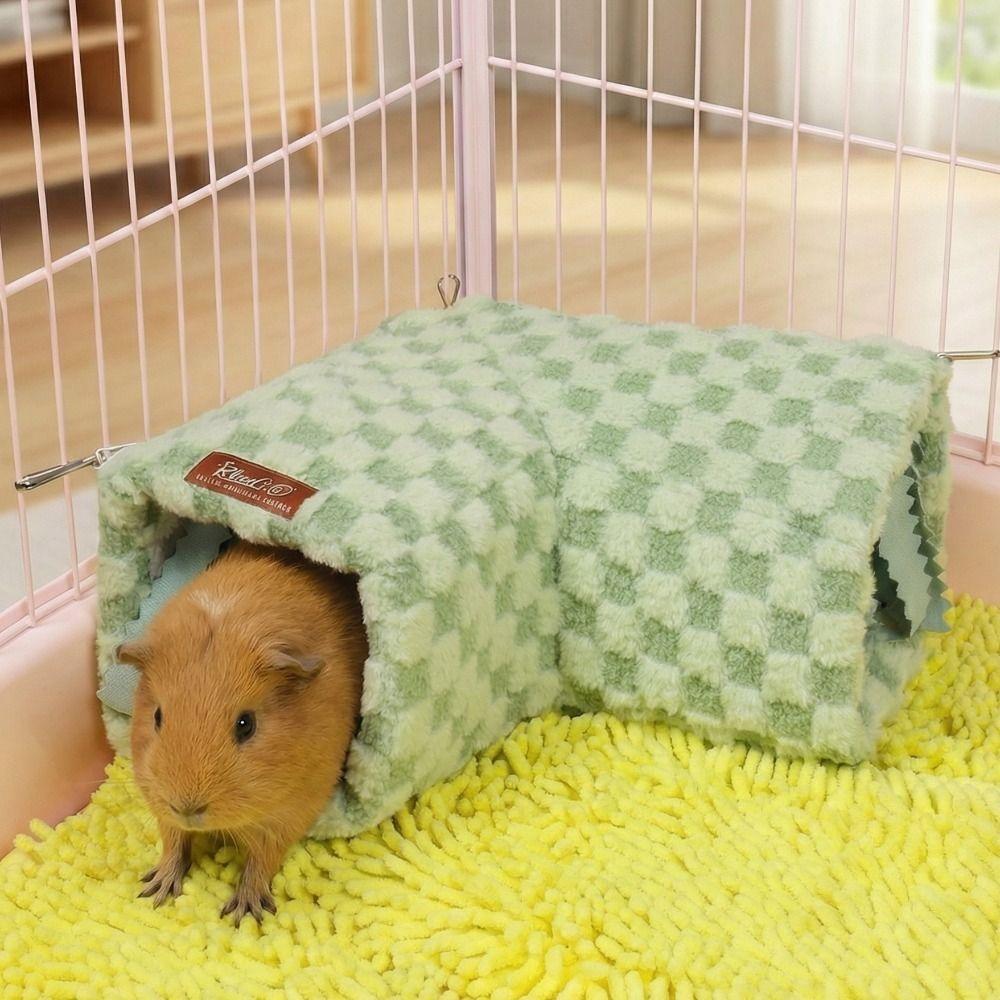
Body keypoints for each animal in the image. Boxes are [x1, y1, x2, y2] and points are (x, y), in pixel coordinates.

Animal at [116, 539, 367, 925]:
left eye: (246, 724)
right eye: (157, 716)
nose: (188, 808)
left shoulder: (292, 812)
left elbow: (260, 860)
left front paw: (243, 913)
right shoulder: (163, 810)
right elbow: (173, 842)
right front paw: (156, 890)